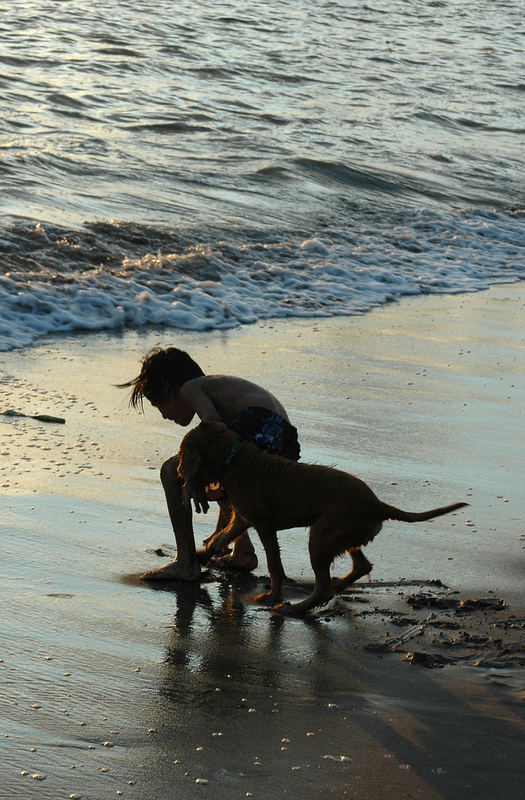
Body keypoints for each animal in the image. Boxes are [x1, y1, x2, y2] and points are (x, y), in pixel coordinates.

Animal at [177, 422, 466, 616]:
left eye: (181, 454)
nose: (179, 472)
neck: (235, 459)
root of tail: (377, 504)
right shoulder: (244, 518)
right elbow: (223, 536)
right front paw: (204, 554)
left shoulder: (264, 525)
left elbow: (274, 565)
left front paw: (271, 596)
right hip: (343, 534)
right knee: (361, 566)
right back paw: (337, 585)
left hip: (322, 535)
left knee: (323, 586)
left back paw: (293, 609)